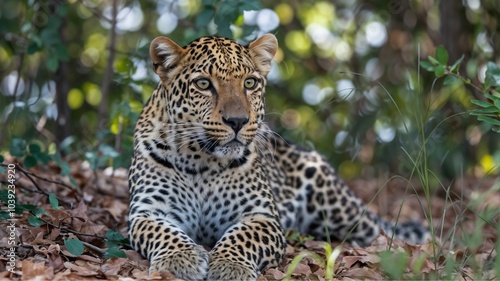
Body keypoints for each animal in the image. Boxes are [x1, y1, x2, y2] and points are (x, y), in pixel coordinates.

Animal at [127, 34, 428, 278]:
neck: (200, 160)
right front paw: (181, 259)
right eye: (203, 84)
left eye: (250, 83)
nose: (237, 121)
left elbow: (241, 237)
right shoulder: (147, 211)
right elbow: (165, 233)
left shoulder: (262, 216)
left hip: (344, 212)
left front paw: (229, 266)